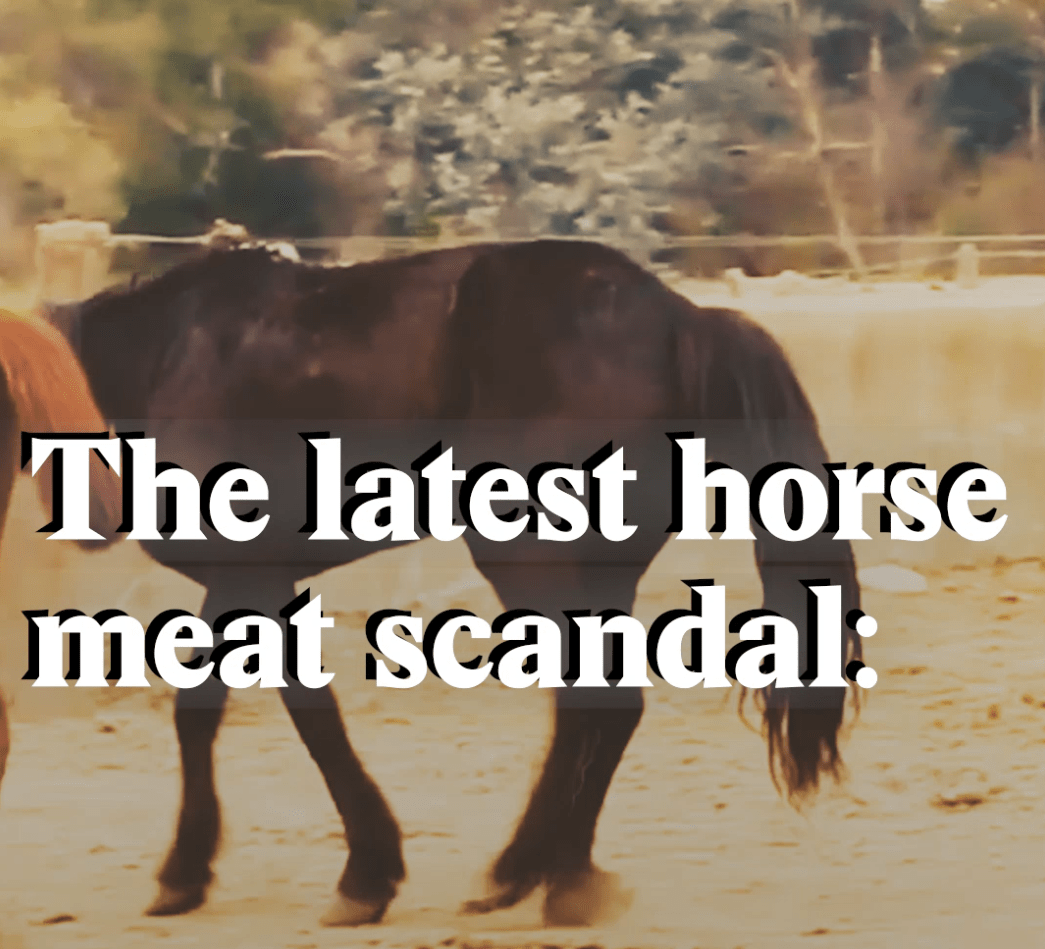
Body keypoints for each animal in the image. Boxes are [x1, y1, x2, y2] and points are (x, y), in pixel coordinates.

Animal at [47, 238, 863, 928]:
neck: (169, 355)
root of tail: (680, 318)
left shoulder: (246, 570)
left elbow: (248, 712)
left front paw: (321, 875)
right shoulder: (261, 582)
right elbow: (274, 708)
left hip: (526, 555)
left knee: (592, 704)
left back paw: (527, 873)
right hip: (598, 570)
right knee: (602, 712)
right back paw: (560, 875)